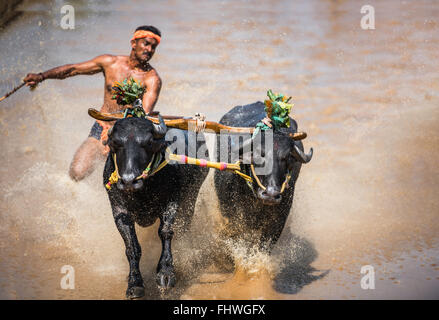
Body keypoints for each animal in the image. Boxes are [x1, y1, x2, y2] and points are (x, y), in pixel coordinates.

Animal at [102, 116, 209, 298]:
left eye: (149, 142)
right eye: (115, 142)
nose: (129, 181)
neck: (143, 191)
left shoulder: (172, 202)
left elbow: (166, 232)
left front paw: (166, 273)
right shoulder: (119, 211)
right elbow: (132, 246)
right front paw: (134, 283)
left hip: (191, 196)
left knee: (184, 226)